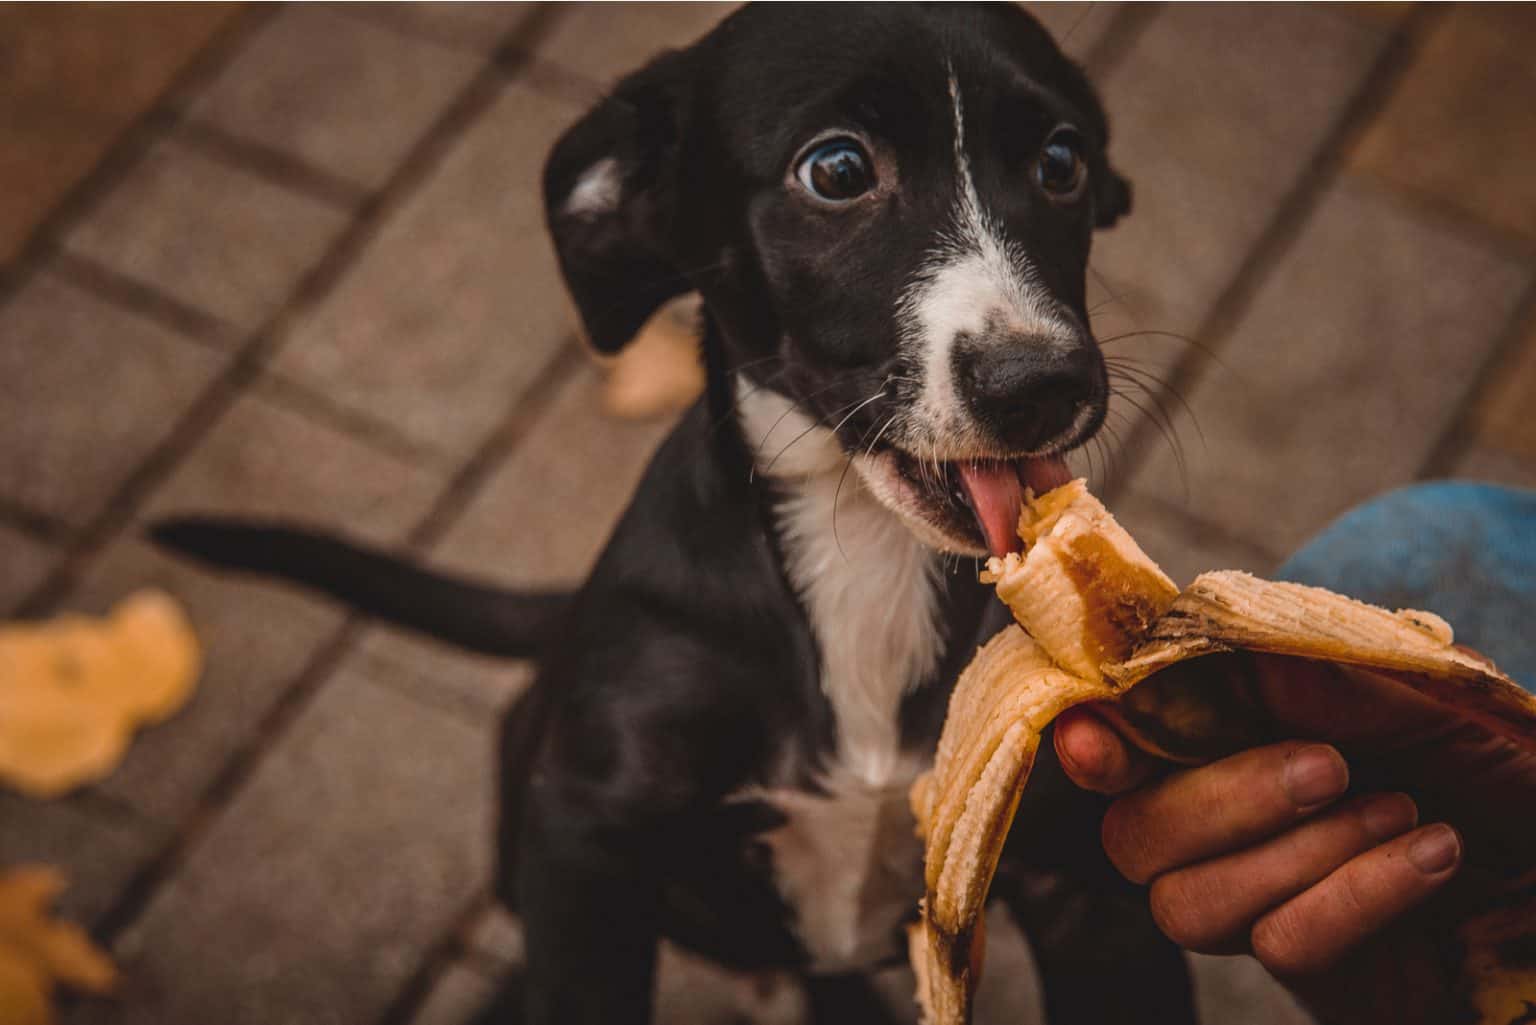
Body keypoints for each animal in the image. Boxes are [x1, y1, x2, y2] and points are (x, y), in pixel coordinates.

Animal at [162, 4, 1204, 1020]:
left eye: (1062, 162)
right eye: (837, 170)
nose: (1041, 383)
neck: (863, 551)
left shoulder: (1091, 887)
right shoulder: (583, 838)